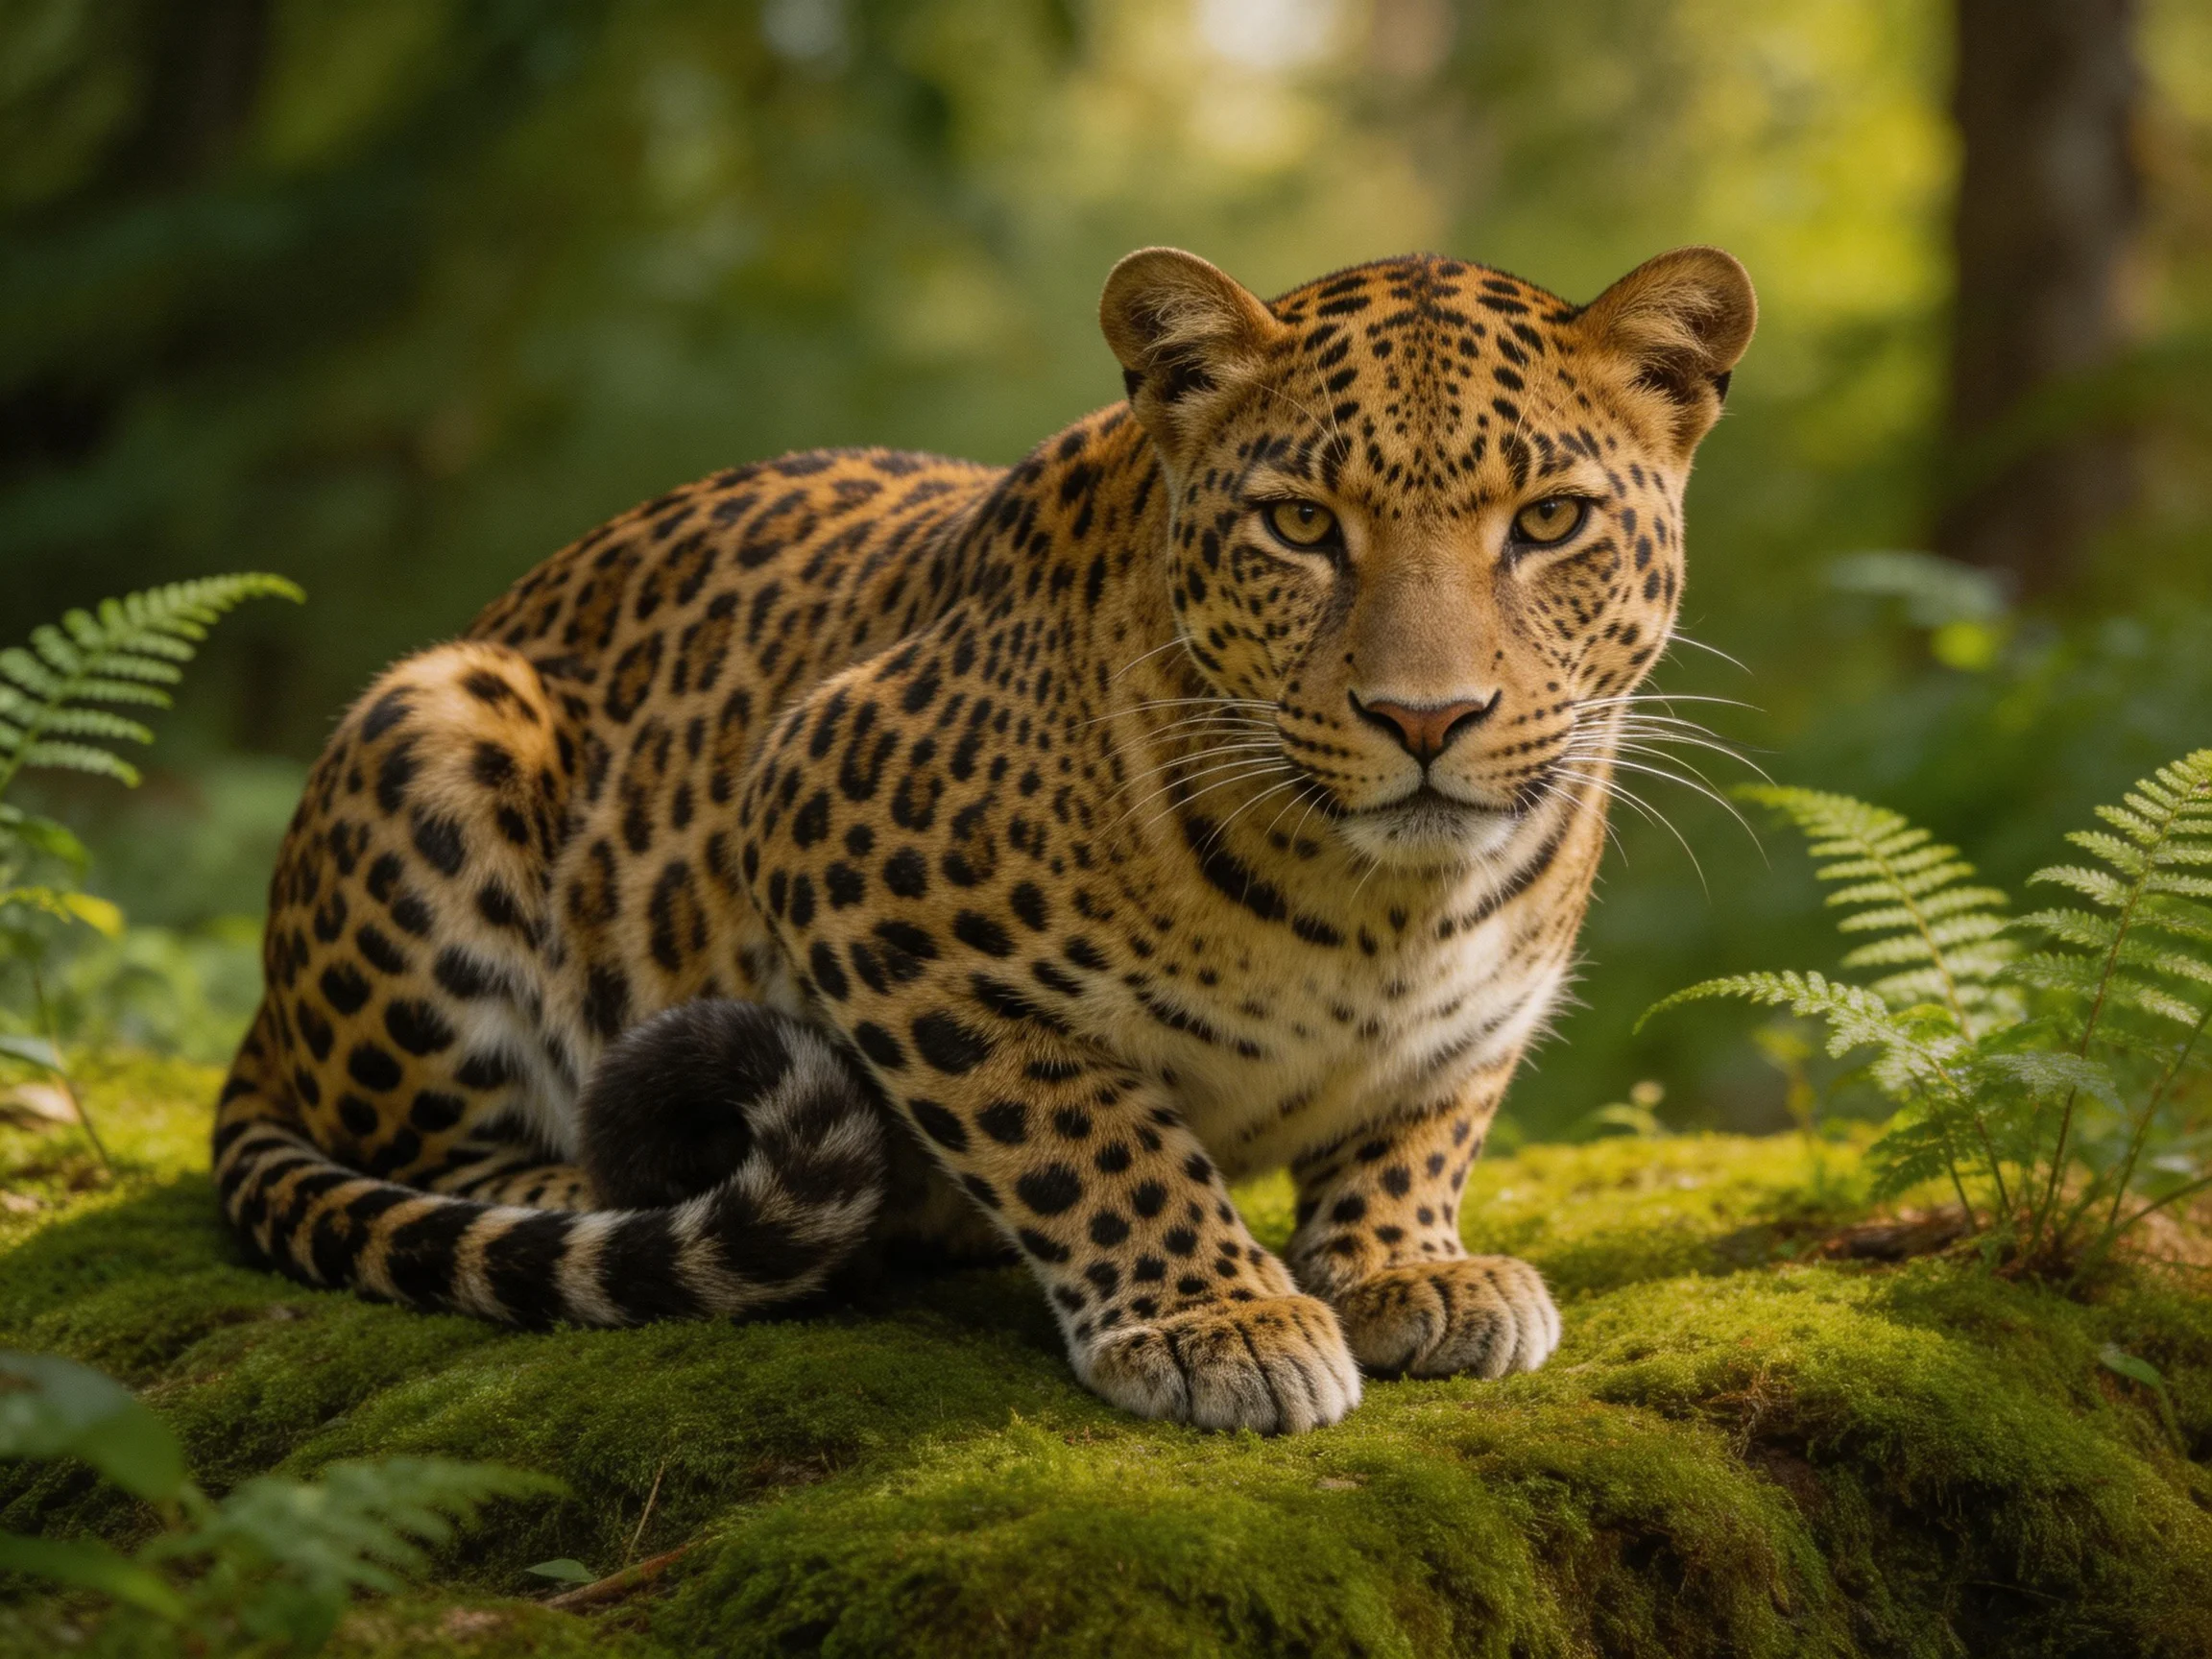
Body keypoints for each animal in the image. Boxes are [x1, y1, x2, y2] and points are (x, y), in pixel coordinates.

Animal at [214, 244, 1755, 1434]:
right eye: (1300, 525)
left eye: (1549, 520)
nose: (1426, 717)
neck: (1389, 905)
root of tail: (265, 1020)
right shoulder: (834, 841)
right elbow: (1084, 1128)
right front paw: (1216, 1316)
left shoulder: (1480, 1015)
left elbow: (1420, 1125)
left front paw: (1404, 1268)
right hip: (436, 720)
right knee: (434, 1147)